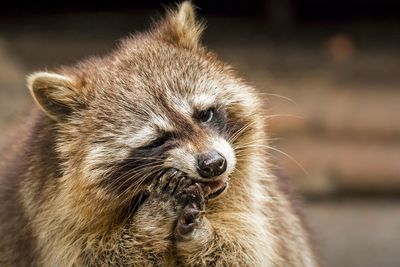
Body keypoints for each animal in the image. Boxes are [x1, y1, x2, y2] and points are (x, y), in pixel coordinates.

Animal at [0, 2, 318, 267]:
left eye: (204, 114)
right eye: (157, 141)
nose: (214, 164)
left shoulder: (260, 207)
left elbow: (246, 250)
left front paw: (204, 237)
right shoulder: (50, 219)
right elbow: (94, 255)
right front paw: (149, 222)